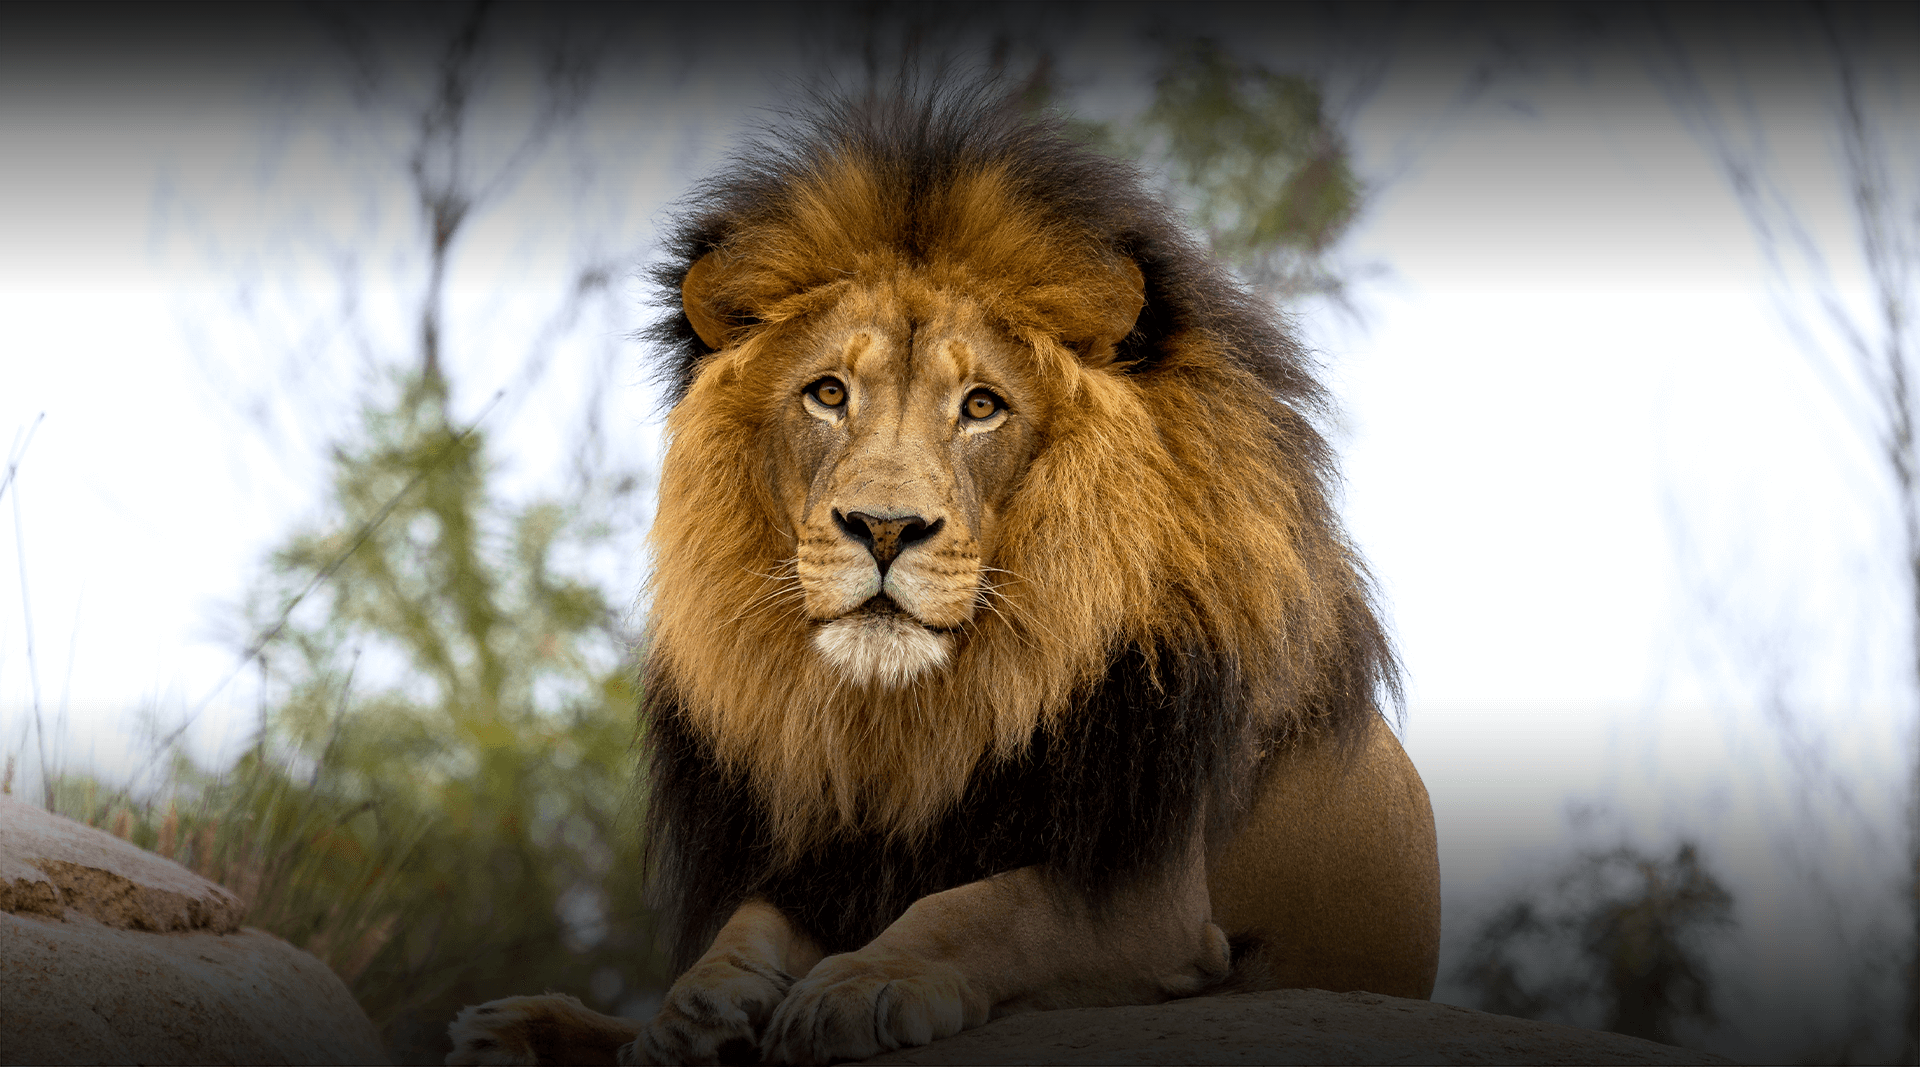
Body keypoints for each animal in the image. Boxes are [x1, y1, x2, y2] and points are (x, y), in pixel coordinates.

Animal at [449, 85, 1443, 1067]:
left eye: (982, 406)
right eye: (828, 393)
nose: (884, 528)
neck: (925, 720)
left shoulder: (1153, 894)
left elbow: (983, 906)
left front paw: (860, 984)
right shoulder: (833, 864)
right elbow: (747, 926)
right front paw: (695, 1008)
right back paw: (516, 1027)